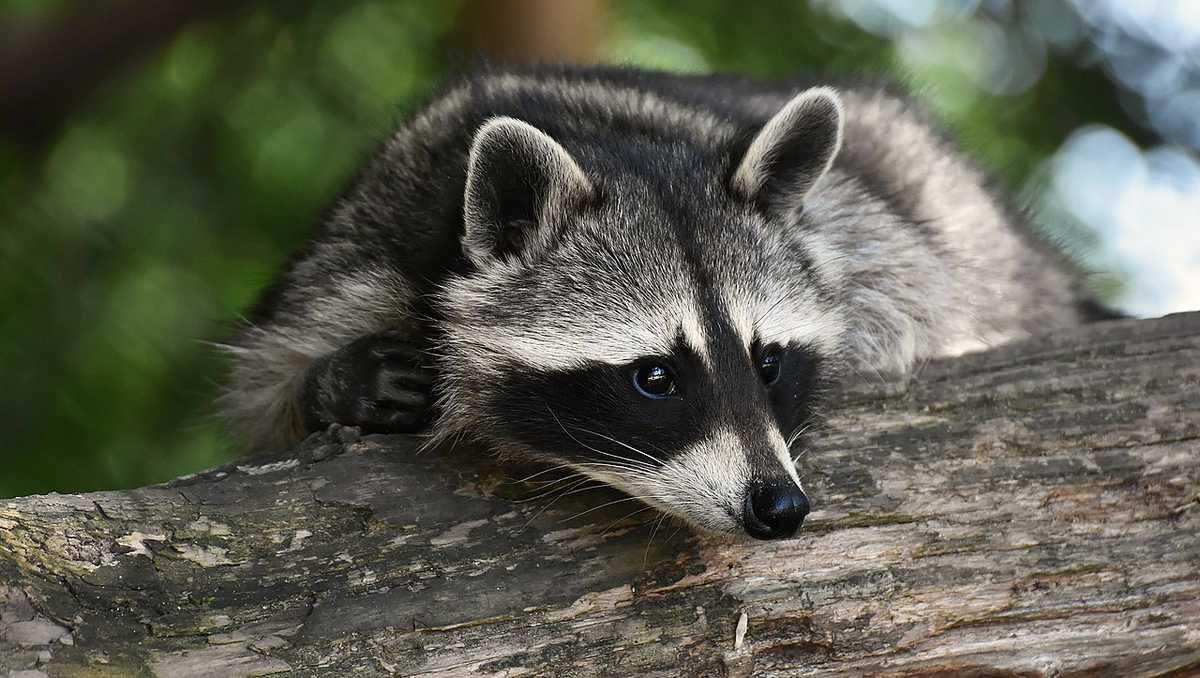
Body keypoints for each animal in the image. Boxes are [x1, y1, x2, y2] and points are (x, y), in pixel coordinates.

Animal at [221, 64, 1099, 540]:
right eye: (654, 377)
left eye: (768, 362)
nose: (780, 507)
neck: (605, 141)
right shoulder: (360, 245)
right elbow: (265, 387)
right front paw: (335, 383)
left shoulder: (873, 237)